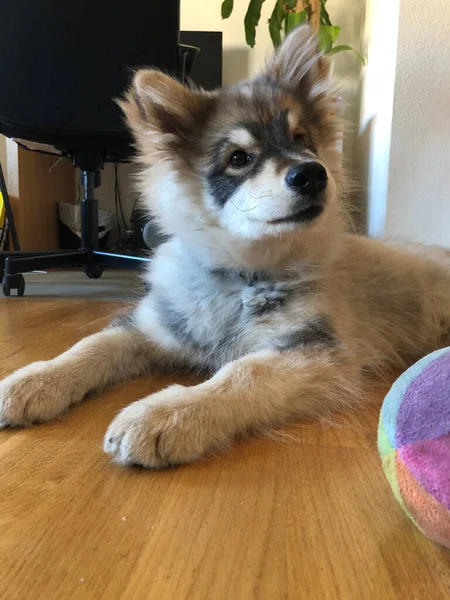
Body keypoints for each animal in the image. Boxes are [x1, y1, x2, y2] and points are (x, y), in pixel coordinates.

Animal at [0, 27, 450, 468]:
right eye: (238, 158)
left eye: (301, 138)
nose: (312, 174)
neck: (239, 275)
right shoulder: (152, 325)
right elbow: (90, 345)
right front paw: (34, 381)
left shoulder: (316, 352)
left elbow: (241, 373)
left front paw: (165, 414)